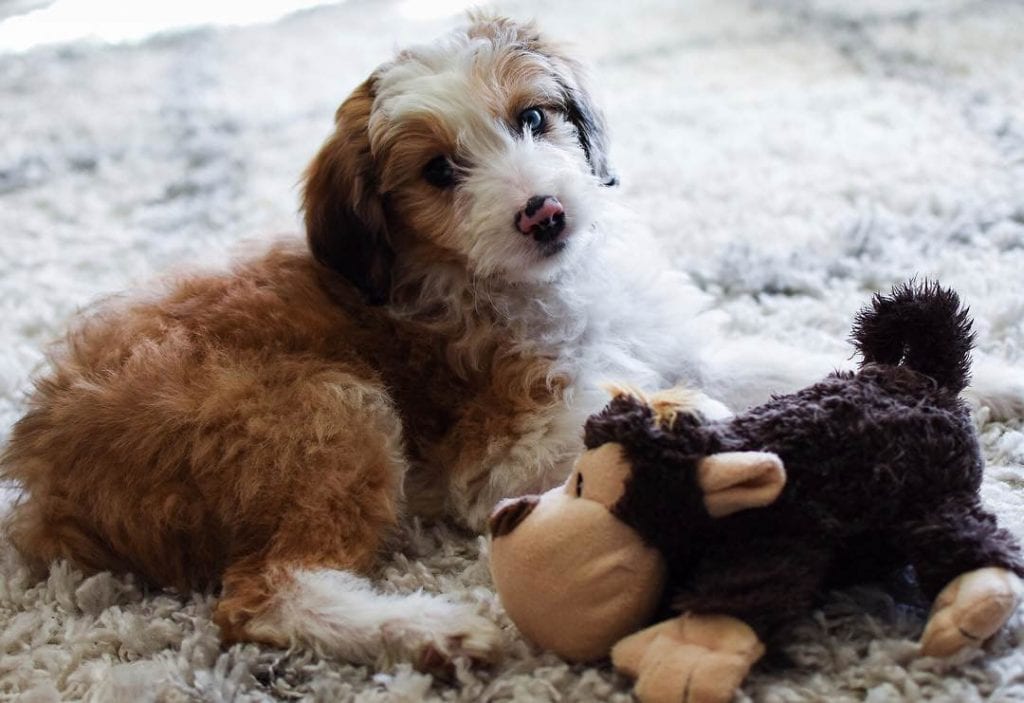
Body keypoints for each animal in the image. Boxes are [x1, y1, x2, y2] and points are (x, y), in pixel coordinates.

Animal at [2, 12, 1024, 671]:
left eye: (534, 118)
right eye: (438, 172)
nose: (544, 211)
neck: (534, 285)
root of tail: (45, 482)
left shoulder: (672, 342)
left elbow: (794, 363)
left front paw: (992, 383)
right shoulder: (503, 451)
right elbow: (686, 418)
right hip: (329, 412)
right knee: (259, 596)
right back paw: (432, 632)